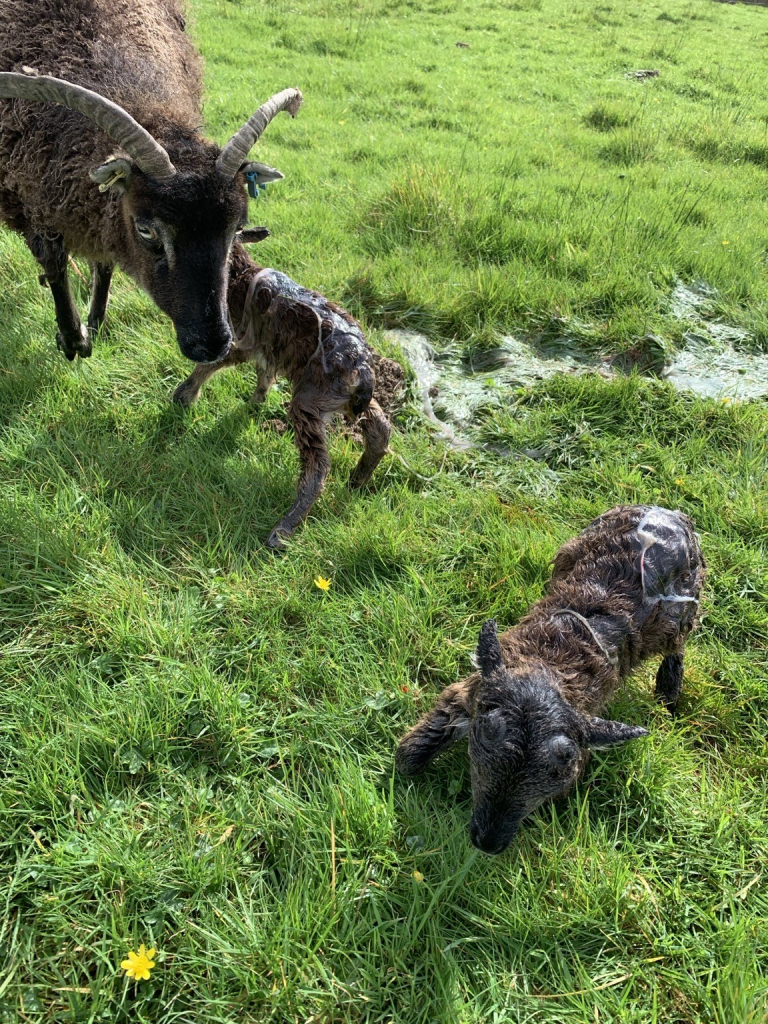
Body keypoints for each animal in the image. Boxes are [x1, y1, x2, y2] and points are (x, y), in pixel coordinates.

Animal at [0, 0, 303, 364]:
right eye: (146, 231)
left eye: (238, 228)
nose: (212, 346)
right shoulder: (27, 202)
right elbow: (55, 265)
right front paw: (74, 340)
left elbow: (104, 260)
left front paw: (95, 321)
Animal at [174, 239, 391, 548]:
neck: (240, 273)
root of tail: (361, 369)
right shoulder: (267, 347)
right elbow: (264, 372)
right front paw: (256, 402)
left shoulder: (240, 338)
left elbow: (215, 362)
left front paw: (184, 396)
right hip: (342, 398)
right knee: (380, 428)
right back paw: (358, 480)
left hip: (310, 399)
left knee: (318, 468)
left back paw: (283, 530)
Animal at [399, 505, 708, 856]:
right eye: (482, 739)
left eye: (561, 771)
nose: (488, 843)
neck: (553, 658)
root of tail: (673, 513)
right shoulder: (470, 692)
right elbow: (407, 758)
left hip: (679, 615)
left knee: (679, 644)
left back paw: (668, 693)